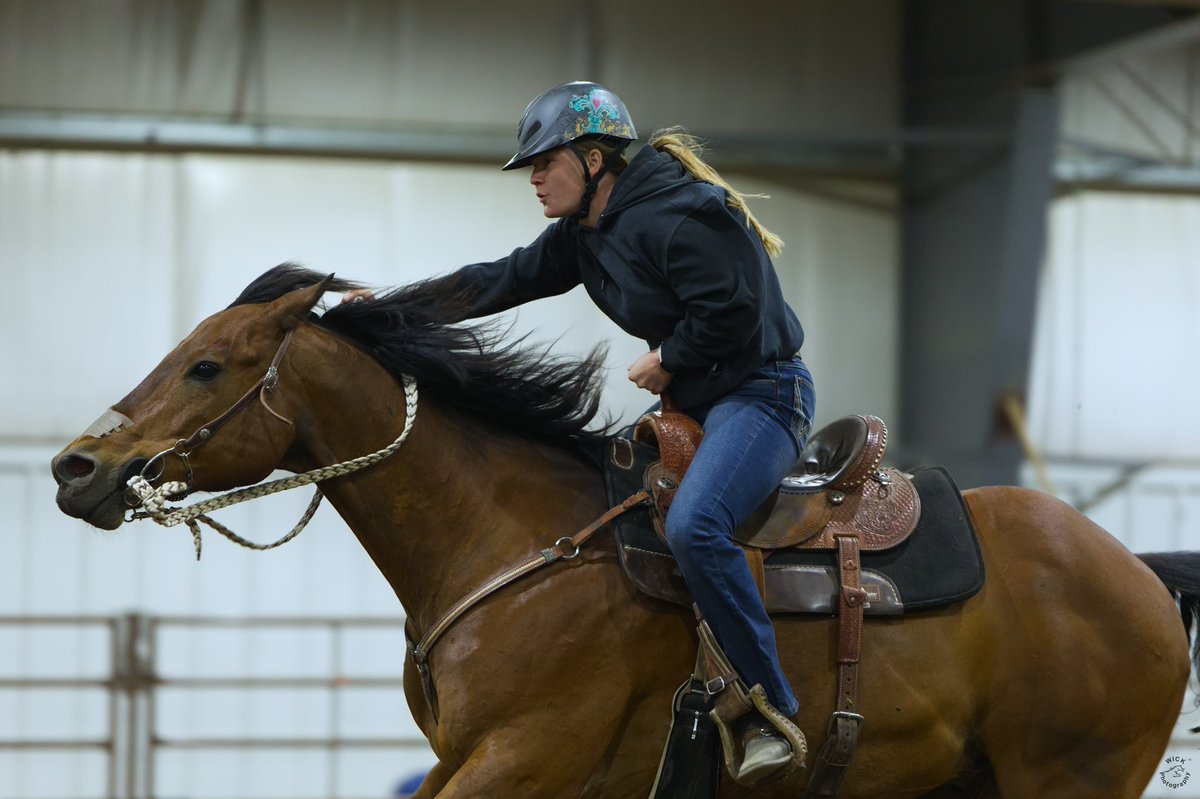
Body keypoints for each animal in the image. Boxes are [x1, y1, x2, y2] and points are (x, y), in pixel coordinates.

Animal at [51, 264, 1200, 798]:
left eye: (209, 365)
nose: (76, 468)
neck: (520, 542)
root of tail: (1135, 572)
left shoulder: (524, 757)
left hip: (1070, 776)